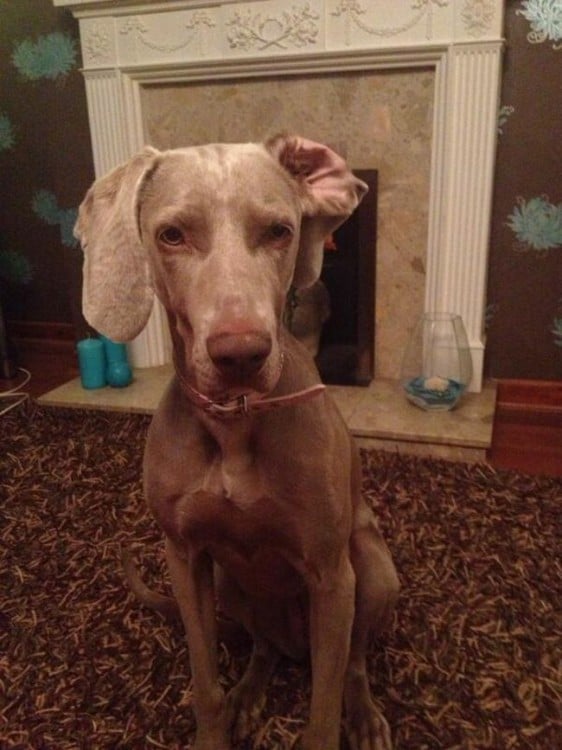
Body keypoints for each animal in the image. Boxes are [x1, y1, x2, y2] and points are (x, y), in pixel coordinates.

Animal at [75, 137, 398, 750]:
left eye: (279, 231)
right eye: (171, 235)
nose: (241, 354)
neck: (234, 423)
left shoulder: (330, 575)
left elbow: (322, 712)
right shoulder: (185, 559)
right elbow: (205, 684)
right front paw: (218, 722)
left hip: (371, 570)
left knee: (352, 661)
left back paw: (365, 715)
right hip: (231, 586)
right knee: (264, 647)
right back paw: (248, 696)